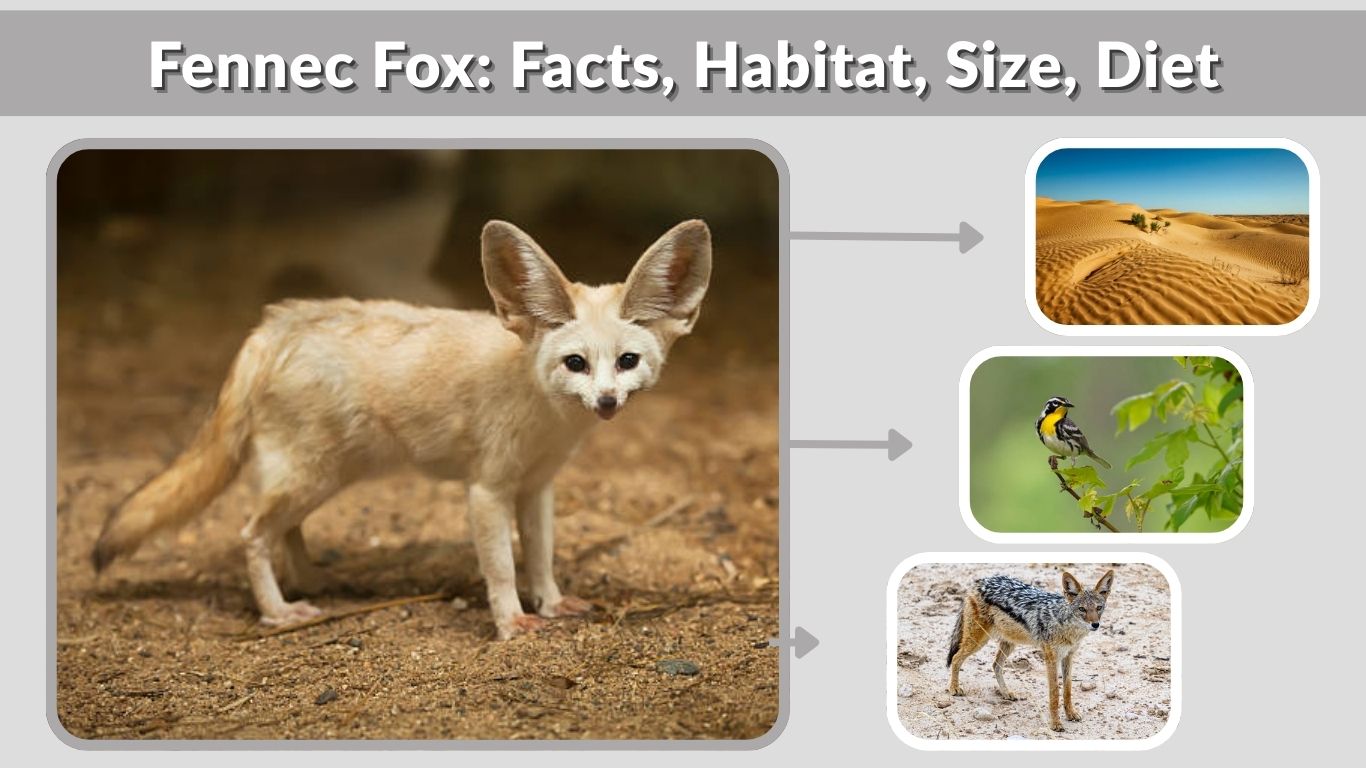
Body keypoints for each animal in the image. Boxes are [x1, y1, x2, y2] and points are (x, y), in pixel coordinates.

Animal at [92, 218, 712, 640]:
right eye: (576, 363)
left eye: (627, 362)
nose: (606, 401)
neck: (547, 418)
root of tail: (271, 327)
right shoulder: (487, 489)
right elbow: (501, 566)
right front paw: (512, 622)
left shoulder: (537, 486)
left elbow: (540, 556)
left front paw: (552, 602)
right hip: (311, 477)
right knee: (251, 534)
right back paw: (278, 611)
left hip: (322, 477)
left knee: (283, 531)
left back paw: (311, 580)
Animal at [946, 570, 1116, 732]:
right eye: (1082, 609)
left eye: (1098, 608)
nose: (1095, 624)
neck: (1066, 626)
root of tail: (981, 581)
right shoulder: (1051, 658)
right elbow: (1054, 693)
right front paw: (1055, 724)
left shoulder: (1068, 656)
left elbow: (1067, 690)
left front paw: (1071, 714)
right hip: (978, 641)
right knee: (956, 658)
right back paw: (954, 688)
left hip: (1008, 644)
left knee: (995, 665)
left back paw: (1006, 693)